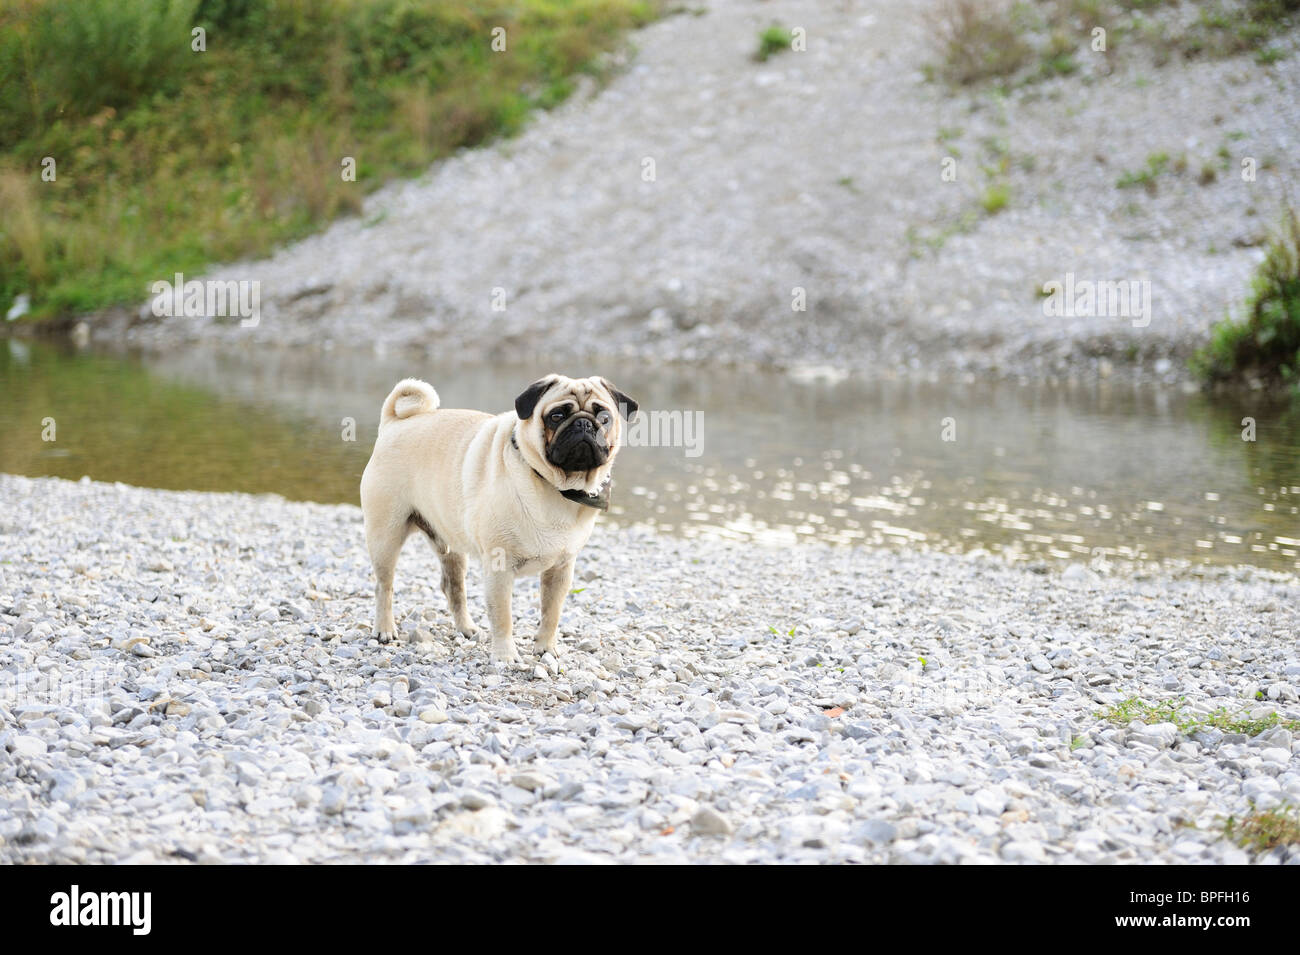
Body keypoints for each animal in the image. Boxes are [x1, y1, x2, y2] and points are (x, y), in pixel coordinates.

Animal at [358, 374, 637, 665]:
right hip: (385, 537)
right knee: (384, 586)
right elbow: (502, 616)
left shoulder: (561, 570)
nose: (584, 423)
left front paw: (546, 648)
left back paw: (466, 628)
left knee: (453, 587)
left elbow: (552, 613)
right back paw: (384, 629)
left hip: (451, 543)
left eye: (604, 417)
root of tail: (395, 423)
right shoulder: (499, 568)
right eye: (556, 416)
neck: (554, 487)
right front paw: (505, 655)